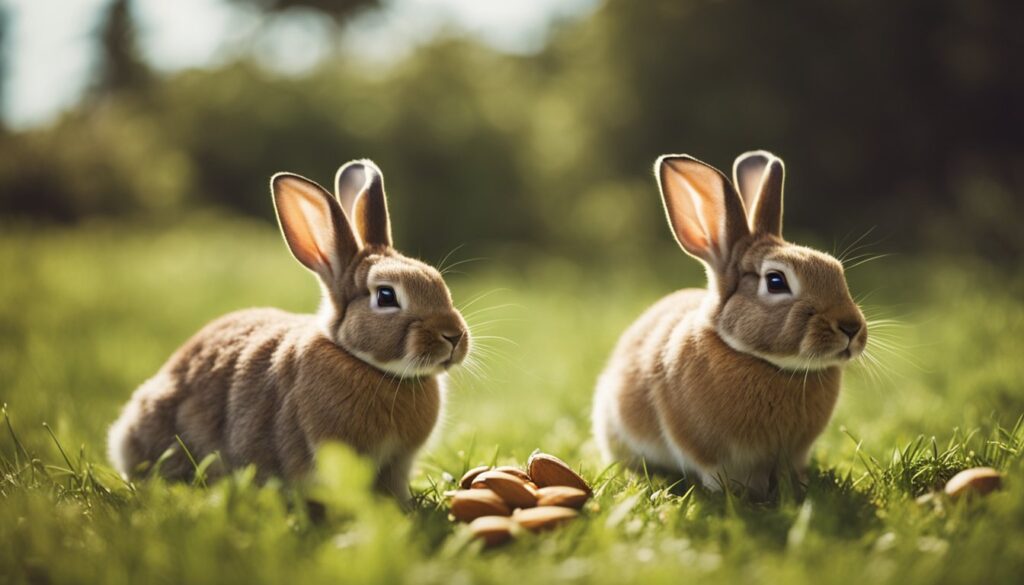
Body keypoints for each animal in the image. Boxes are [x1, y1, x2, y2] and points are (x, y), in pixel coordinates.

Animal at [108, 159, 470, 503]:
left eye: (437, 280)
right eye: (385, 296)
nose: (453, 336)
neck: (367, 365)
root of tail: (123, 435)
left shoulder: (398, 462)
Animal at [592, 151, 867, 498]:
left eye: (836, 269)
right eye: (775, 281)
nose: (851, 327)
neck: (769, 365)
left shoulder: (796, 452)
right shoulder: (708, 451)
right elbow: (719, 473)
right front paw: (737, 493)